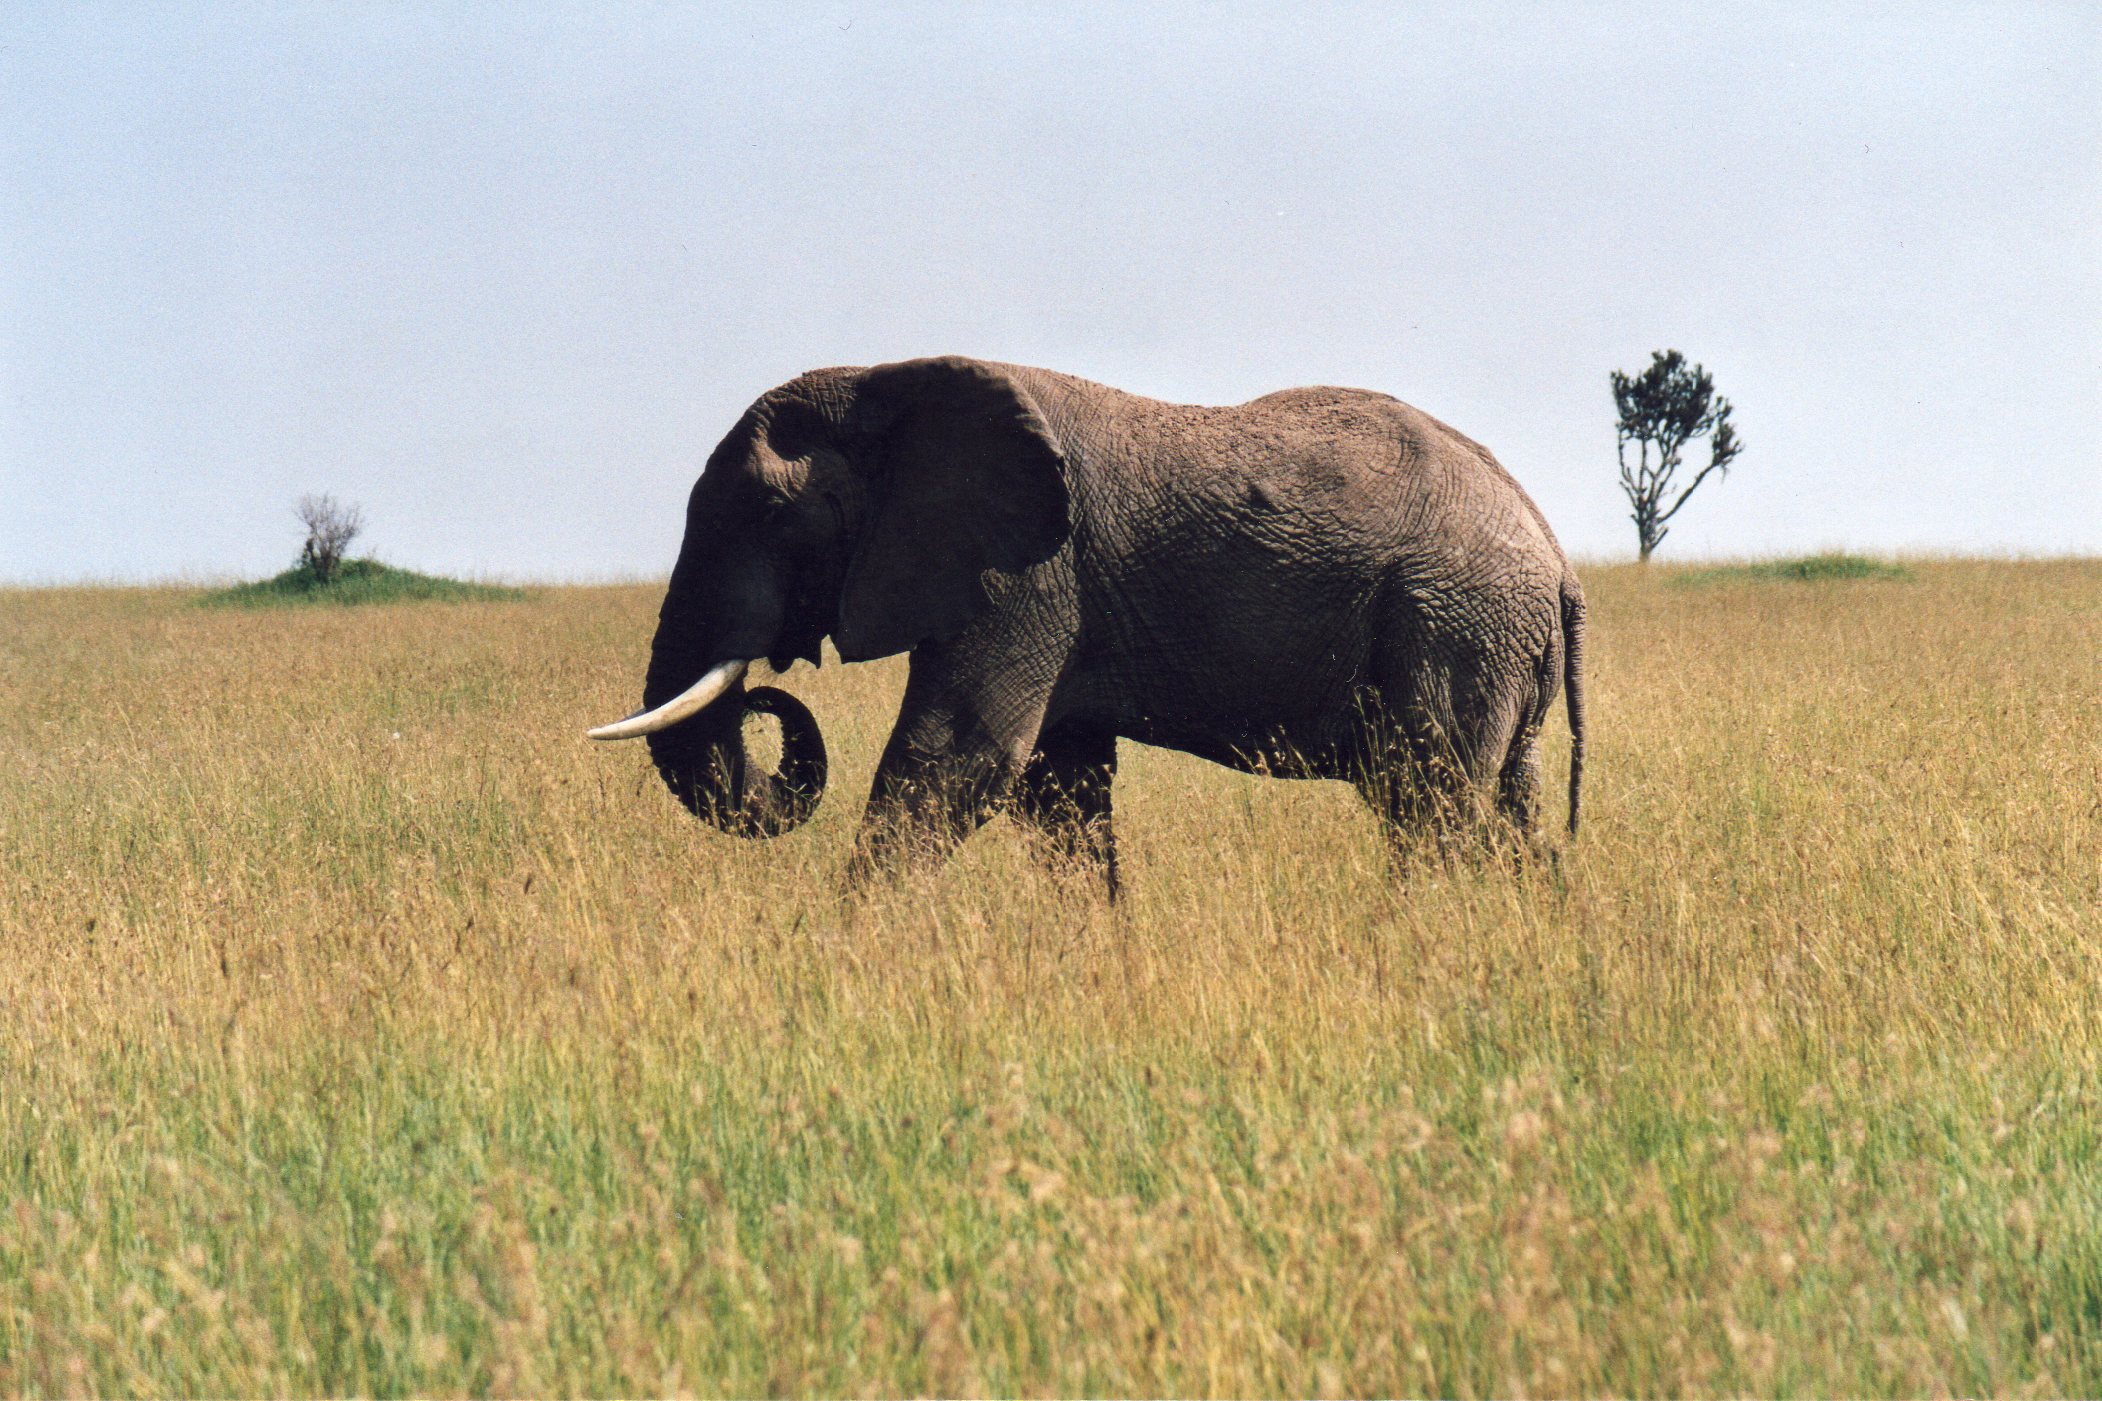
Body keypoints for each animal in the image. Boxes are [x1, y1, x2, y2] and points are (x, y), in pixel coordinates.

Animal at [589, 356, 1586, 895]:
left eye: (767, 513)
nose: (768, 690)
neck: (886, 384)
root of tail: (1555, 555)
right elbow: (1059, 790)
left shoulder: (1026, 579)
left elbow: (954, 760)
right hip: (1494, 643)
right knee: (1508, 816)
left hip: (1451, 624)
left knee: (1430, 806)